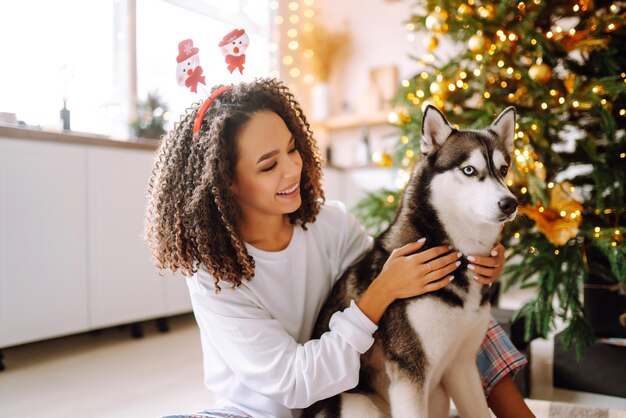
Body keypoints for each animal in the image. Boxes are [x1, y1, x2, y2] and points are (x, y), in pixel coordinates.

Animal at [304, 106, 516, 416]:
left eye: (502, 170)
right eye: (469, 170)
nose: (511, 203)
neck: (458, 254)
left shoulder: (462, 365)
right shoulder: (409, 370)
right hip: (359, 403)